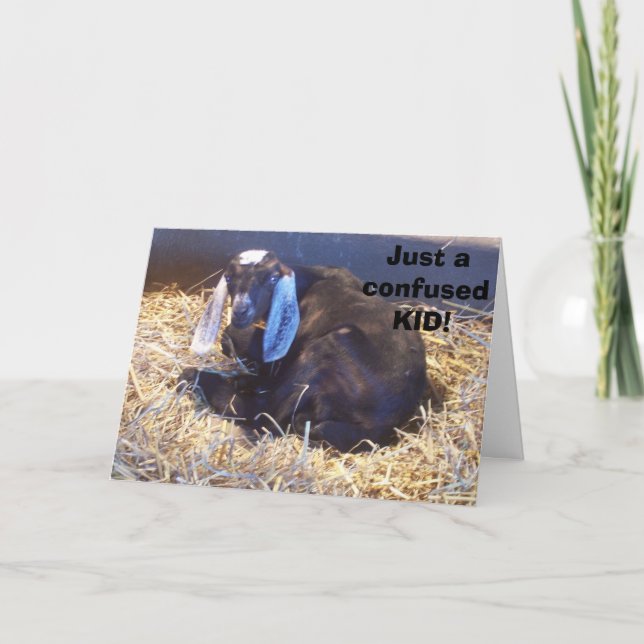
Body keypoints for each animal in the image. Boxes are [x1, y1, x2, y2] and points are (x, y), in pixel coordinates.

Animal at [181, 249, 433, 452]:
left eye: (273, 279)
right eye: (229, 278)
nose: (241, 311)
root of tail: (380, 424)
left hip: (328, 350)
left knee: (265, 413)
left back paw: (196, 377)